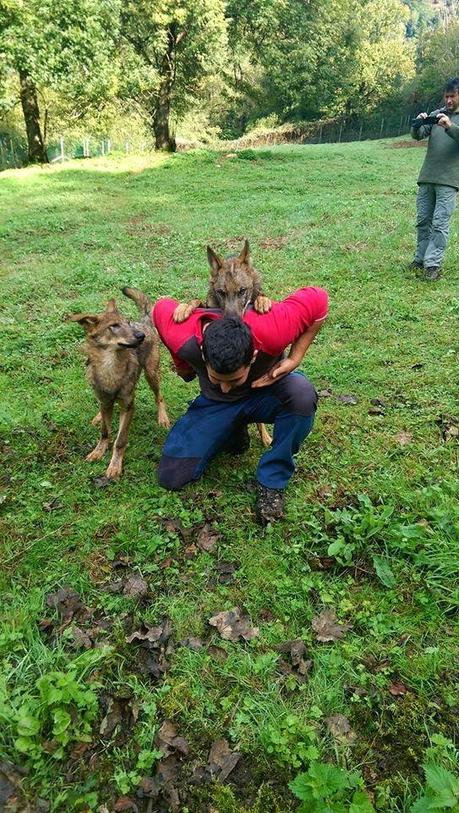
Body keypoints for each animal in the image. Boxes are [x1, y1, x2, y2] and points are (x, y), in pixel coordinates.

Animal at [69, 287, 170, 480]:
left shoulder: (128, 406)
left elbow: (120, 440)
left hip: (151, 375)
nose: (140, 336)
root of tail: (143, 322)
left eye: (127, 323)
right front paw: (98, 451)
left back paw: (163, 418)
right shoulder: (105, 400)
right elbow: (105, 431)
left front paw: (115, 466)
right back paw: (98, 416)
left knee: (159, 396)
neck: (110, 368)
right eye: (114, 326)